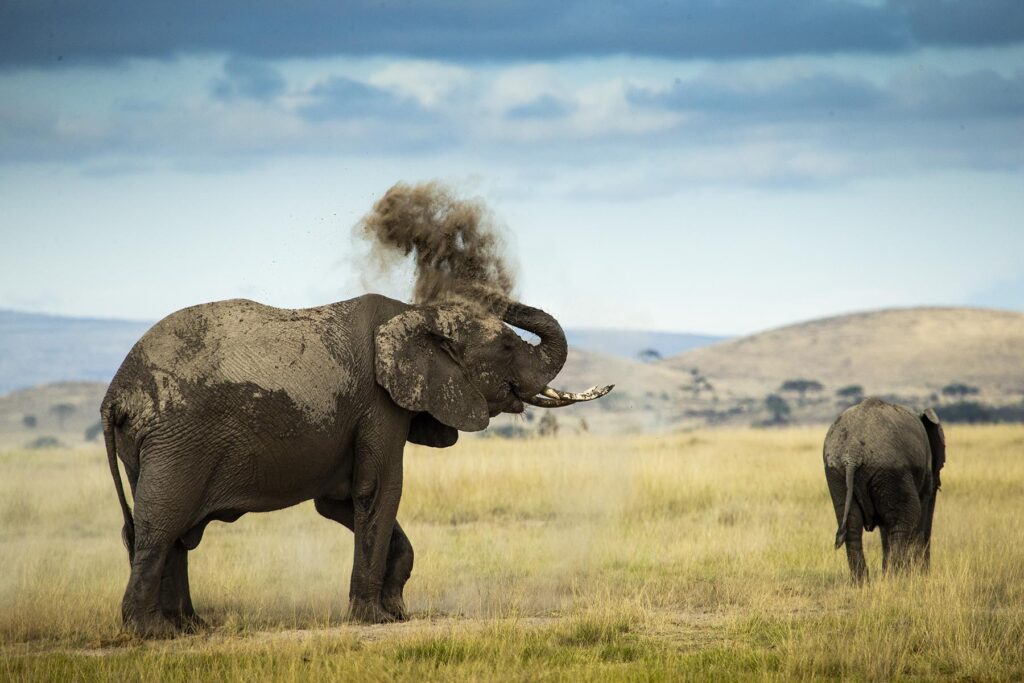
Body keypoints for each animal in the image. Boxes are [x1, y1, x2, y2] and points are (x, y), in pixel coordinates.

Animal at [101, 296, 606, 638]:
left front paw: (398, 612)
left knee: (168, 531)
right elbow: (381, 490)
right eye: (504, 346)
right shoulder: (380, 405)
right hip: (175, 443)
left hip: (150, 447)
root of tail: (116, 394)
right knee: (160, 526)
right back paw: (152, 632)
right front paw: (375, 618)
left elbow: (341, 502)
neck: (415, 315)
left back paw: (190, 626)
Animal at [823, 395, 942, 581]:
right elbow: (922, 511)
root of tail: (853, 452)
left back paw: (863, 582)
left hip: (837, 472)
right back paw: (895, 578)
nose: (926, 573)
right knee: (905, 519)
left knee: (852, 525)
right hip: (890, 470)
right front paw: (919, 576)